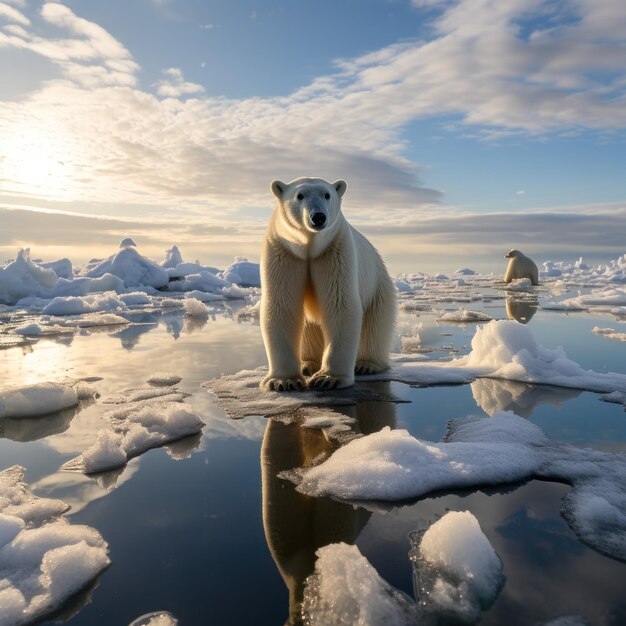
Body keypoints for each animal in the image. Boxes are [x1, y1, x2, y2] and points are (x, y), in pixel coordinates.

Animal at [258, 177, 394, 390]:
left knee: (376, 325)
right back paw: (307, 364)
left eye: (327, 194)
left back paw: (366, 364)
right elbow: (282, 305)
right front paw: (283, 381)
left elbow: (340, 304)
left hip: (378, 287)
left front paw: (328, 378)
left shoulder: (334, 251)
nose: (318, 217)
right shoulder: (284, 250)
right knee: (308, 326)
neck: (309, 246)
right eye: (300, 195)